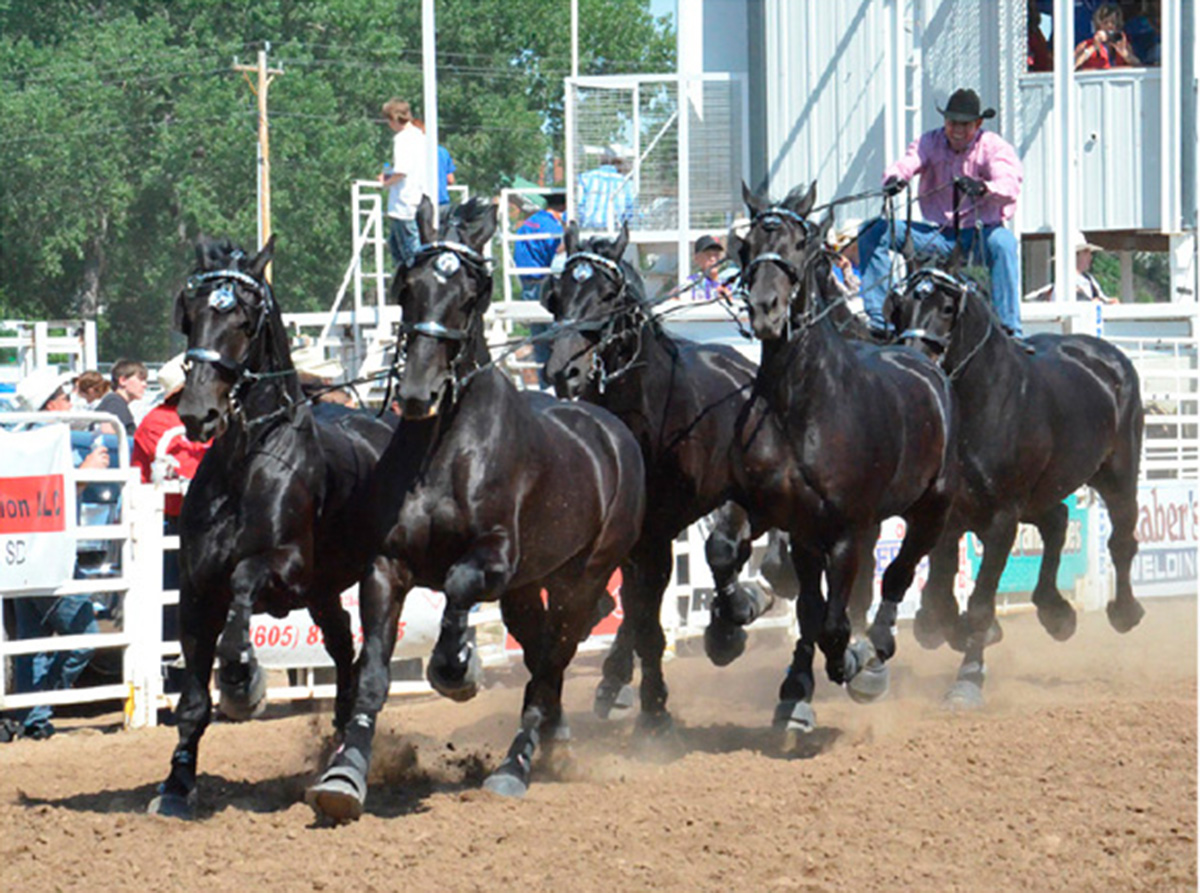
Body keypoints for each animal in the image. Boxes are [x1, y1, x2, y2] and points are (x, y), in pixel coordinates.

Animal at [148, 235, 403, 816]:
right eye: (191, 314)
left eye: (244, 320)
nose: (198, 413)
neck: (248, 460)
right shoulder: (195, 589)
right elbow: (192, 699)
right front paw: (176, 783)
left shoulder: (285, 567)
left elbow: (243, 585)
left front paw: (242, 680)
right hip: (325, 591)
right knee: (342, 646)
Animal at [309, 199, 648, 820]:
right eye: (407, 286)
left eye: (470, 293)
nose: (417, 391)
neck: (445, 445)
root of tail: (609, 429)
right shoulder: (386, 567)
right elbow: (372, 675)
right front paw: (345, 774)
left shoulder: (494, 560)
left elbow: (459, 587)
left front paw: (458, 666)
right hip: (529, 589)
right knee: (541, 653)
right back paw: (554, 739)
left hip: (582, 576)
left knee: (552, 660)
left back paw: (516, 764)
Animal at [542, 223, 777, 734]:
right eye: (555, 295)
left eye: (608, 295)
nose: (563, 369)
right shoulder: (635, 536)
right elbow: (637, 613)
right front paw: (641, 694)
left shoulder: (659, 531)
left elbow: (653, 611)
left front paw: (655, 706)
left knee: (721, 553)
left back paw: (730, 621)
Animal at [729, 181, 955, 734]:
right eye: (745, 247)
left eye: (800, 244)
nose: (766, 310)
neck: (801, 405)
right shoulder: (794, 524)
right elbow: (809, 611)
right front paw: (794, 691)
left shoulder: (848, 530)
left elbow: (835, 622)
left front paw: (853, 660)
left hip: (931, 510)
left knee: (896, 576)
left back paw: (875, 654)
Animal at [892, 261, 1142, 705]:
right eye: (900, 305)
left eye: (947, 308)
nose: (915, 361)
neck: (983, 403)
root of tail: (1106, 355)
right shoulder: (947, 518)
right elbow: (940, 598)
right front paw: (949, 630)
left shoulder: (1001, 519)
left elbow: (978, 603)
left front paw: (968, 678)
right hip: (1042, 493)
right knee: (1057, 521)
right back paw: (1055, 611)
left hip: (1118, 475)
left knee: (1121, 540)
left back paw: (1123, 611)